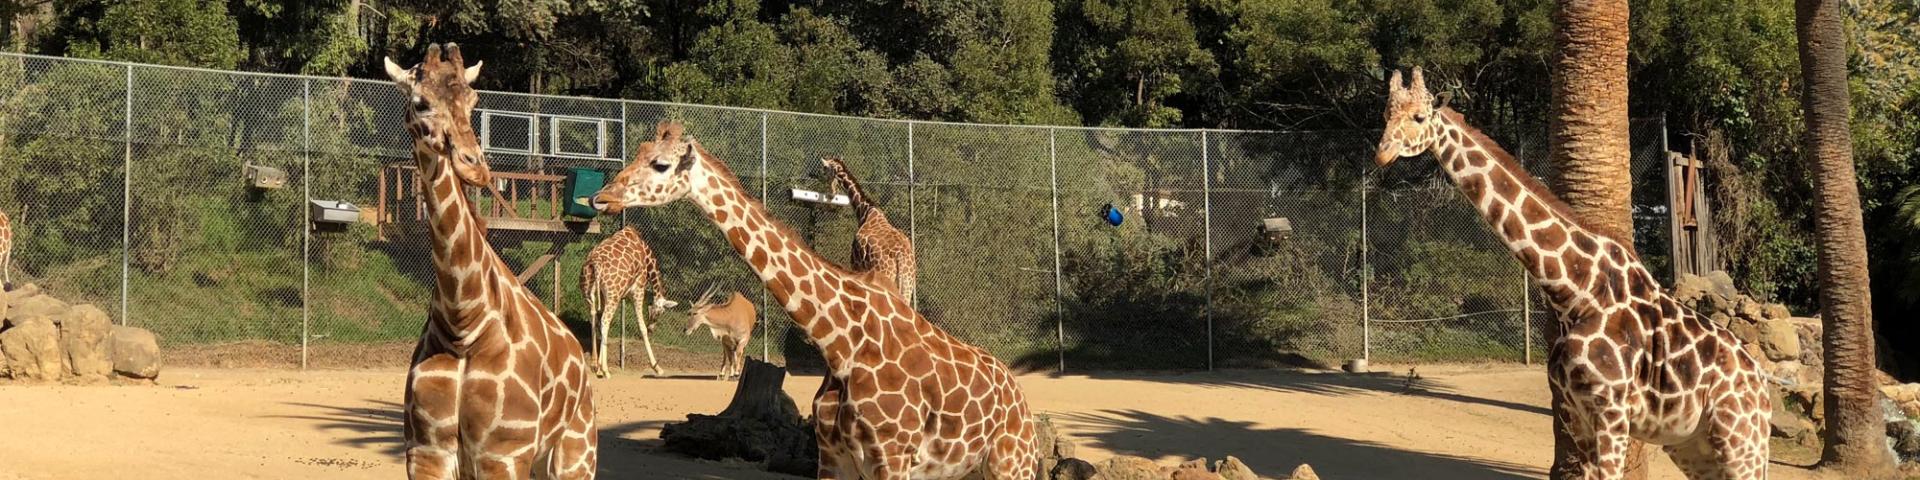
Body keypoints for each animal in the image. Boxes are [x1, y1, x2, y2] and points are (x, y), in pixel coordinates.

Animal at [385, 45, 595, 480]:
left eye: (473, 99)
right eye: (420, 102)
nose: (474, 165)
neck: (464, 320)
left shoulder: (502, 453)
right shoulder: (427, 451)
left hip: (575, 455)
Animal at [576, 224, 683, 378]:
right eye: (660, 312)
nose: (652, 329)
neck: (647, 256)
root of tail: (595, 263)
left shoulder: (604, 295)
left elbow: (598, 321)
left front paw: (597, 366)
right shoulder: (638, 289)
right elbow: (641, 327)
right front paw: (657, 367)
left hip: (588, 292)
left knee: (594, 317)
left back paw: (595, 365)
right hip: (613, 295)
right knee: (605, 321)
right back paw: (606, 370)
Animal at [821, 155, 917, 305]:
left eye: (825, 168)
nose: (831, 194)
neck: (865, 211)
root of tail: (900, 257)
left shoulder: (856, 266)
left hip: (885, 275)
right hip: (908, 283)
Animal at [1382, 68, 1766, 480]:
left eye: (1420, 117)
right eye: (1386, 114)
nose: (1382, 152)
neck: (1574, 292)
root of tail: (1763, 387)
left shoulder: (1612, 413)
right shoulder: (1574, 412)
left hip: (1740, 442)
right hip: (1694, 447)